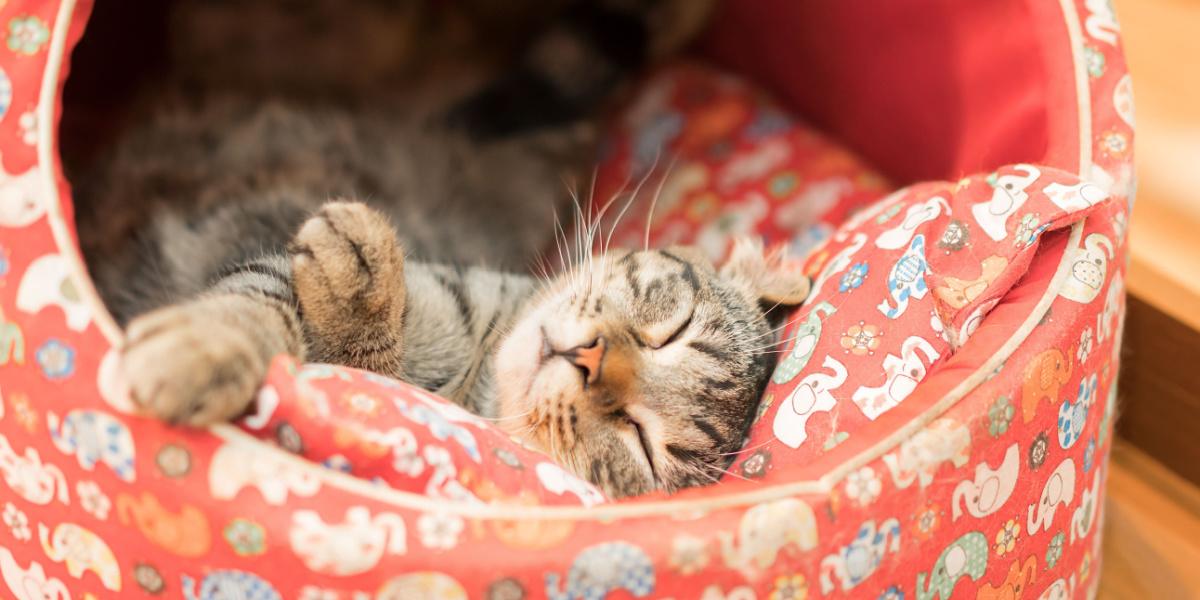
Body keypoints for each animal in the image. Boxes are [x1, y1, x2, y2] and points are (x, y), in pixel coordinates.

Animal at [72, 0, 816, 496]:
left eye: (644, 442)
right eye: (672, 329)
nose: (590, 358)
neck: (477, 363)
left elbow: (355, 364)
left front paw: (358, 308)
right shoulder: (270, 262)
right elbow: (255, 311)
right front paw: (213, 346)